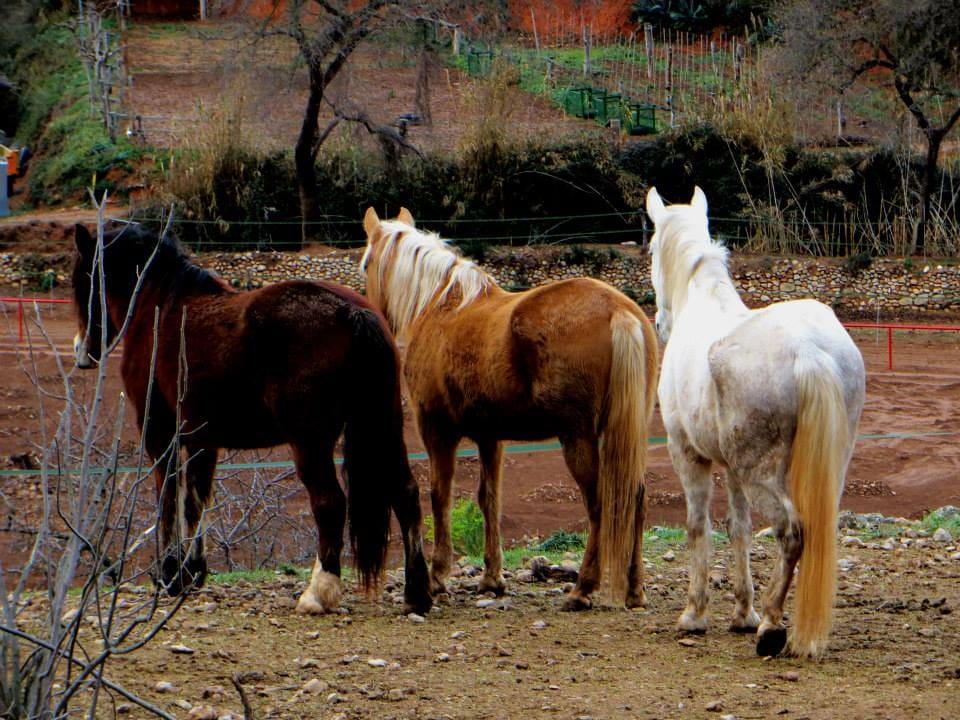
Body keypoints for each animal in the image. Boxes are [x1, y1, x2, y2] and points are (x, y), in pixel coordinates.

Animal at [71, 223, 432, 616]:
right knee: (406, 493)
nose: (81, 351)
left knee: (330, 502)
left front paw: (170, 575)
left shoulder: (159, 433)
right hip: (384, 427)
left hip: (311, 442)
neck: (161, 307)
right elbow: (195, 500)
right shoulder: (202, 439)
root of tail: (351, 312)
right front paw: (191, 572)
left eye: (83, 278)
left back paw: (319, 592)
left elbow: (169, 496)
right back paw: (418, 593)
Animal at [360, 207, 658, 610]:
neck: (441, 306)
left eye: (365, 264)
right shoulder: (491, 438)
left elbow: (440, 495)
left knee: (600, 504)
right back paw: (634, 590)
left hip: (577, 438)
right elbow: (489, 500)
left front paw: (438, 576)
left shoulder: (437, 431)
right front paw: (492, 579)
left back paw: (583, 588)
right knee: (635, 500)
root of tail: (618, 311)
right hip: (627, 437)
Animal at [645, 187, 865, 658]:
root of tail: (806, 349)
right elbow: (740, 530)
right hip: (827, 467)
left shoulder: (687, 454)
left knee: (792, 532)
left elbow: (698, 527)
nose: (658, 322)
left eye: (651, 248)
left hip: (761, 474)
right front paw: (740, 613)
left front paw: (695, 614)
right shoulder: (731, 470)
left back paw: (771, 626)